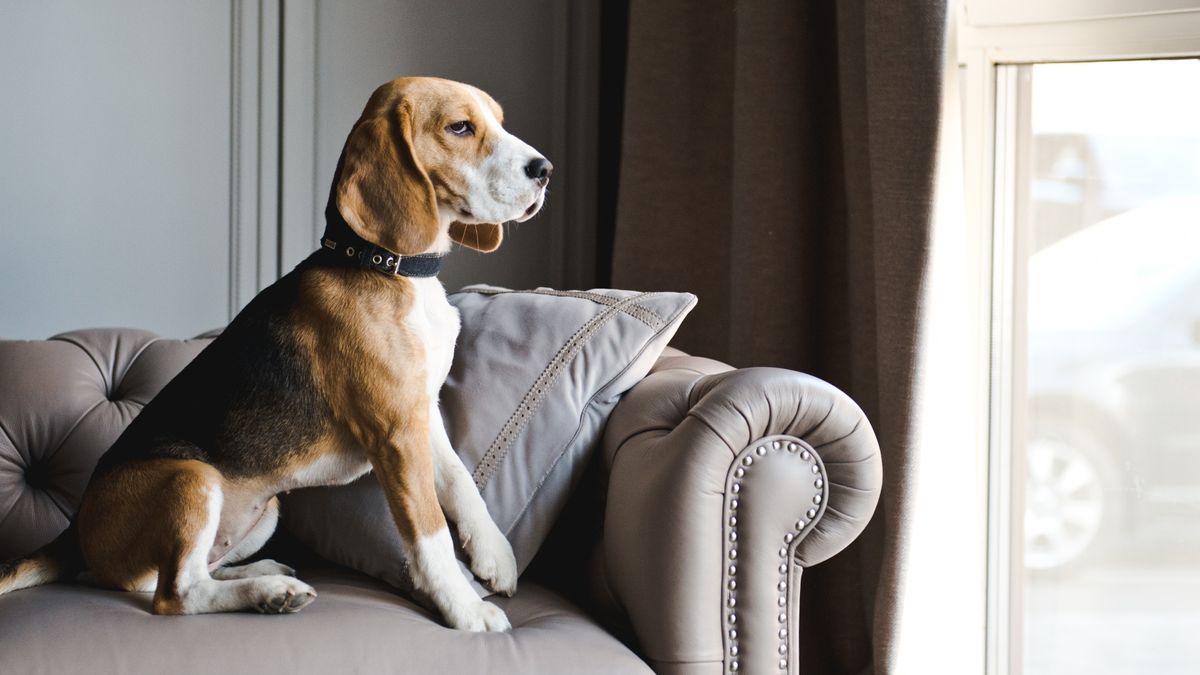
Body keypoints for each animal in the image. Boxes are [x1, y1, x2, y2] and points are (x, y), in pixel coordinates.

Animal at [0, 78, 549, 629]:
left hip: (267, 510)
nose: (544, 170)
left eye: (499, 122)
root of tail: (73, 534)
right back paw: (268, 591)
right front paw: (464, 607)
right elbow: (428, 530)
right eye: (460, 127)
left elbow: (459, 480)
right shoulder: (396, 433)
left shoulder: (422, 413)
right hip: (191, 475)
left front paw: (493, 554)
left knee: (173, 576)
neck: (384, 265)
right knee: (174, 594)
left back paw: (263, 574)